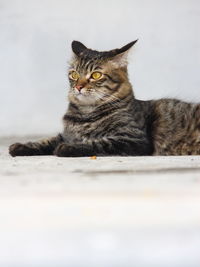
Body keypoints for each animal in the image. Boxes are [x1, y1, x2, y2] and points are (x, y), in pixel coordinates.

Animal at [9, 39, 200, 157]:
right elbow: (46, 141)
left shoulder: (132, 139)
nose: (78, 87)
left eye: (96, 75)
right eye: (74, 74)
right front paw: (21, 146)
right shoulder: (66, 134)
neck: (86, 114)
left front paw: (67, 148)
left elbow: (96, 143)